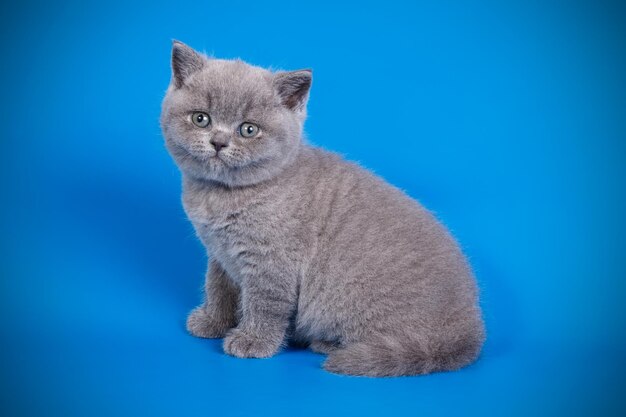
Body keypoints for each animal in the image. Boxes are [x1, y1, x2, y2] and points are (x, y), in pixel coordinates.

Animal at [161, 40, 482, 376]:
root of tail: (468, 332)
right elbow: (218, 287)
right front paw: (212, 321)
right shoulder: (219, 255)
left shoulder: (272, 261)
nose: (219, 142)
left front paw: (253, 341)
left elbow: (265, 303)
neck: (221, 195)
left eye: (248, 130)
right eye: (201, 119)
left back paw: (328, 345)